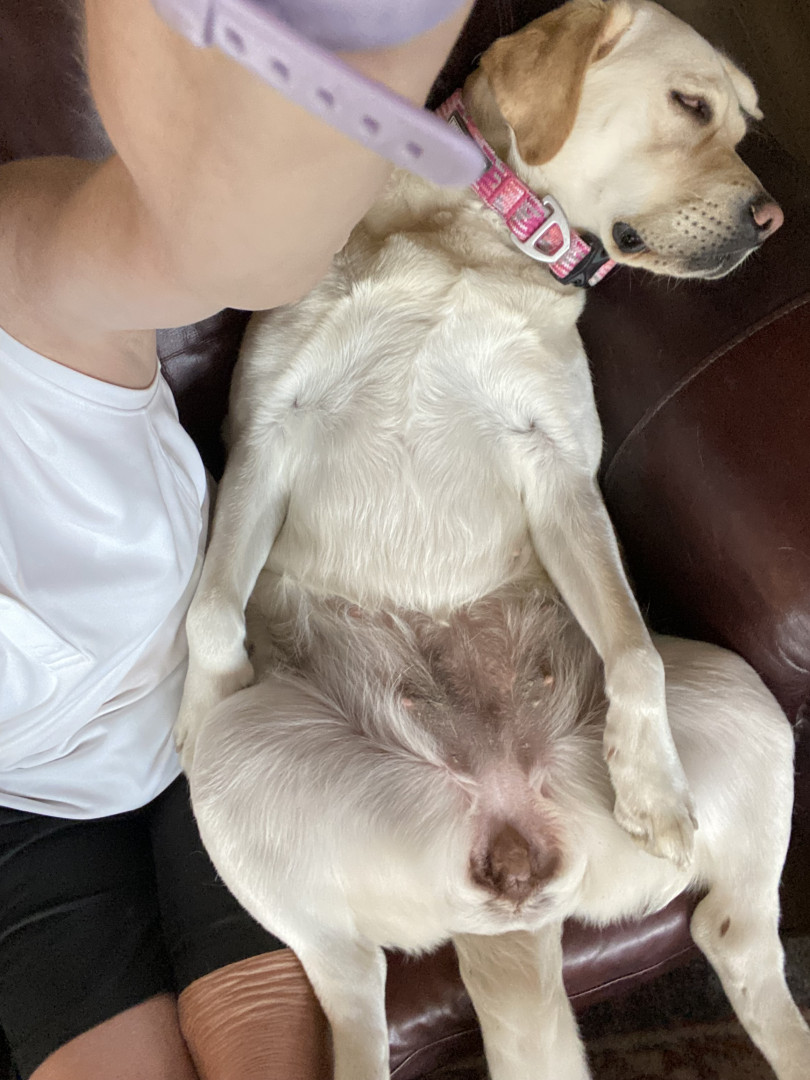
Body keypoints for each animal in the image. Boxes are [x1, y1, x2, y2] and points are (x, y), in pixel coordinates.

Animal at [176, 2, 808, 1077]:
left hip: (749, 703)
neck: (475, 239)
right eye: (692, 105)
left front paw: (653, 784)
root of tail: (513, 873)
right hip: (241, 777)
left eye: (746, 124)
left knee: (735, 931)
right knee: (352, 995)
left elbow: (634, 648)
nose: (773, 221)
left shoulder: (557, 469)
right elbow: (215, 608)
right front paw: (196, 692)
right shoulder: (268, 429)